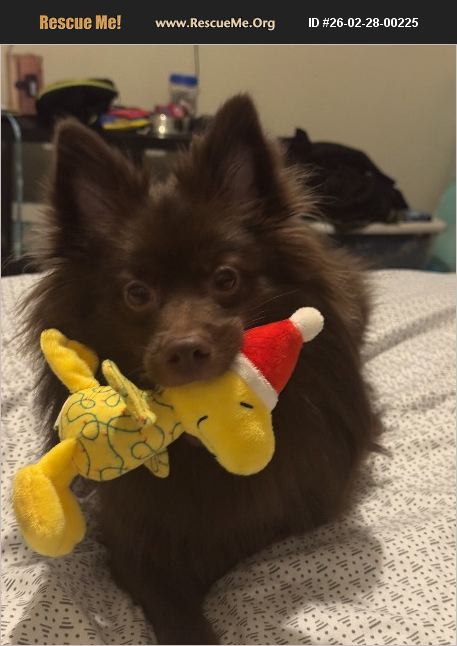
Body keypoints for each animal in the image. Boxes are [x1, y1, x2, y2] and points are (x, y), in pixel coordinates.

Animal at [23, 94, 380, 644]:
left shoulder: (298, 511)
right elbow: (172, 600)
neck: (196, 442)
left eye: (225, 278)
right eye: (137, 293)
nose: (186, 350)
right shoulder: (132, 541)